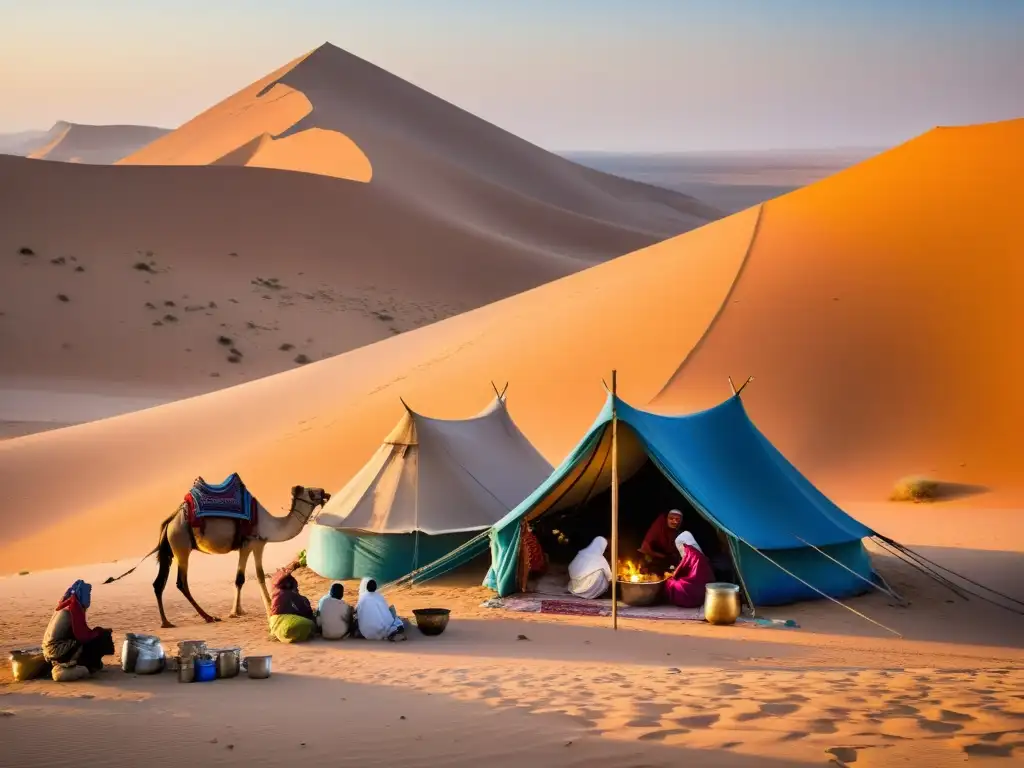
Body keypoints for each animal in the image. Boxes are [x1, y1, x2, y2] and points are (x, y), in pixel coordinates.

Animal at [104, 483, 329, 626]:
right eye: (311, 492)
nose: (325, 492)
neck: (271, 526)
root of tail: (170, 521)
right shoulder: (253, 544)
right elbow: (255, 576)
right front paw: (264, 608)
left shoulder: (249, 546)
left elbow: (240, 578)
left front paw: (238, 611)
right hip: (182, 546)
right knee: (181, 582)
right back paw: (207, 617)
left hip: (170, 550)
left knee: (158, 583)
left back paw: (166, 622)